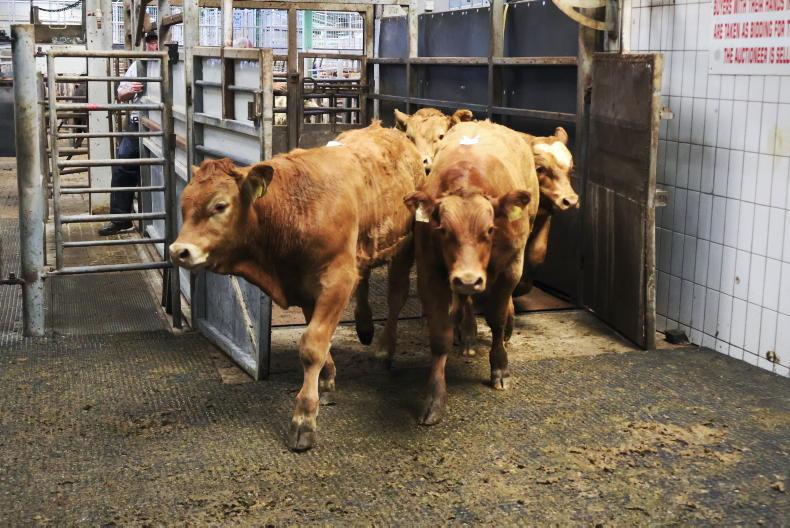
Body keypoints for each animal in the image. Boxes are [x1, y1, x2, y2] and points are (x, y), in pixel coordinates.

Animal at [169, 122, 425, 451]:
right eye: (183, 206)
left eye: (220, 205)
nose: (178, 251)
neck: (295, 208)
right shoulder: (304, 287)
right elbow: (319, 338)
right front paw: (327, 379)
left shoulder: (337, 280)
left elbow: (313, 345)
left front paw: (304, 419)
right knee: (365, 279)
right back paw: (365, 325)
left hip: (405, 246)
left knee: (396, 296)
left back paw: (384, 348)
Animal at [404, 120, 539, 425]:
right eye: (443, 229)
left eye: (489, 230)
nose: (468, 279)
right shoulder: (430, 272)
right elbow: (439, 336)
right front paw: (434, 398)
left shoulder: (511, 266)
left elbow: (497, 318)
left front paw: (500, 368)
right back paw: (466, 334)